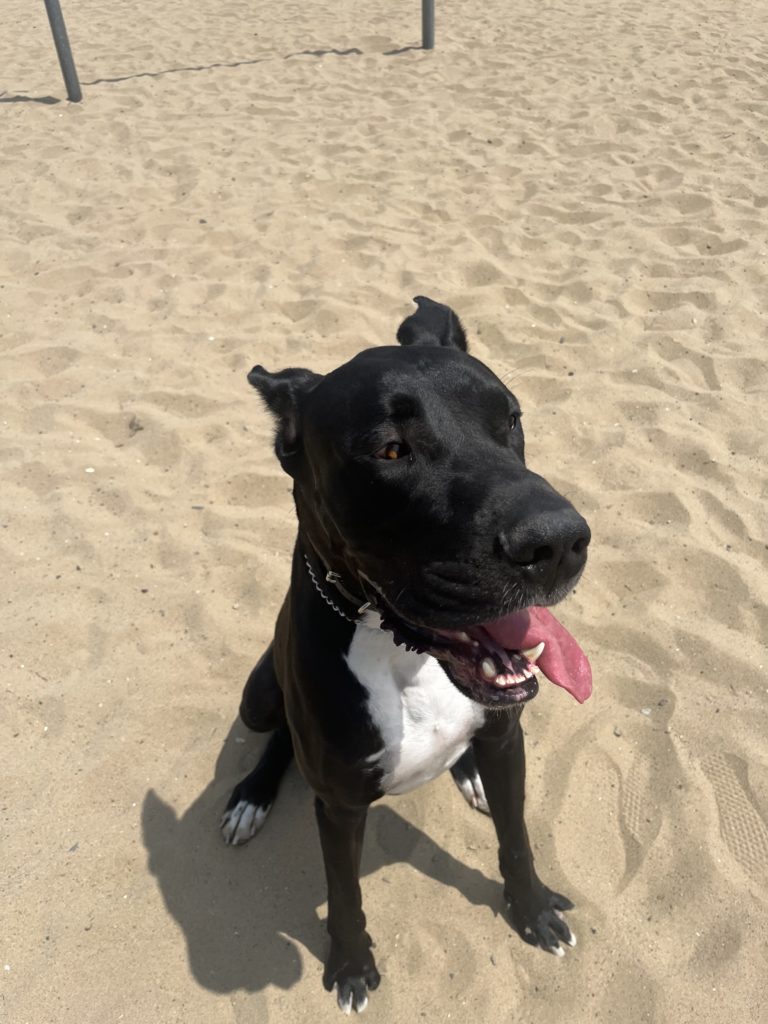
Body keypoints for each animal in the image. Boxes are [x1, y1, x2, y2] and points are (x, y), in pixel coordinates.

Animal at [221, 296, 592, 1013]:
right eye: (391, 450)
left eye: (510, 419)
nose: (560, 543)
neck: (402, 653)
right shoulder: (338, 804)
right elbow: (344, 895)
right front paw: (351, 964)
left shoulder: (506, 738)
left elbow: (517, 840)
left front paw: (531, 910)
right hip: (257, 697)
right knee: (276, 735)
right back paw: (251, 796)